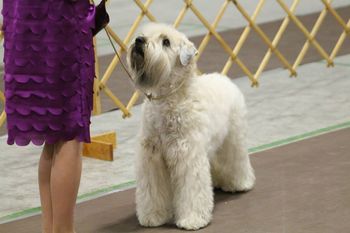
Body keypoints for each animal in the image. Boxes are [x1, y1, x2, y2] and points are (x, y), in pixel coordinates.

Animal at [127, 22, 256, 230]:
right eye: (144, 33)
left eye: (166, 42)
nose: (139, 40)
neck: (168, 100)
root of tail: (225, 79)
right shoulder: (152, 159)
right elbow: (152, 191)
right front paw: (153, 216)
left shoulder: (188, 157)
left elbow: (191, 190)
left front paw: (192, 219)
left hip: (232, 139)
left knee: (236, 161)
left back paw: (240, 183)